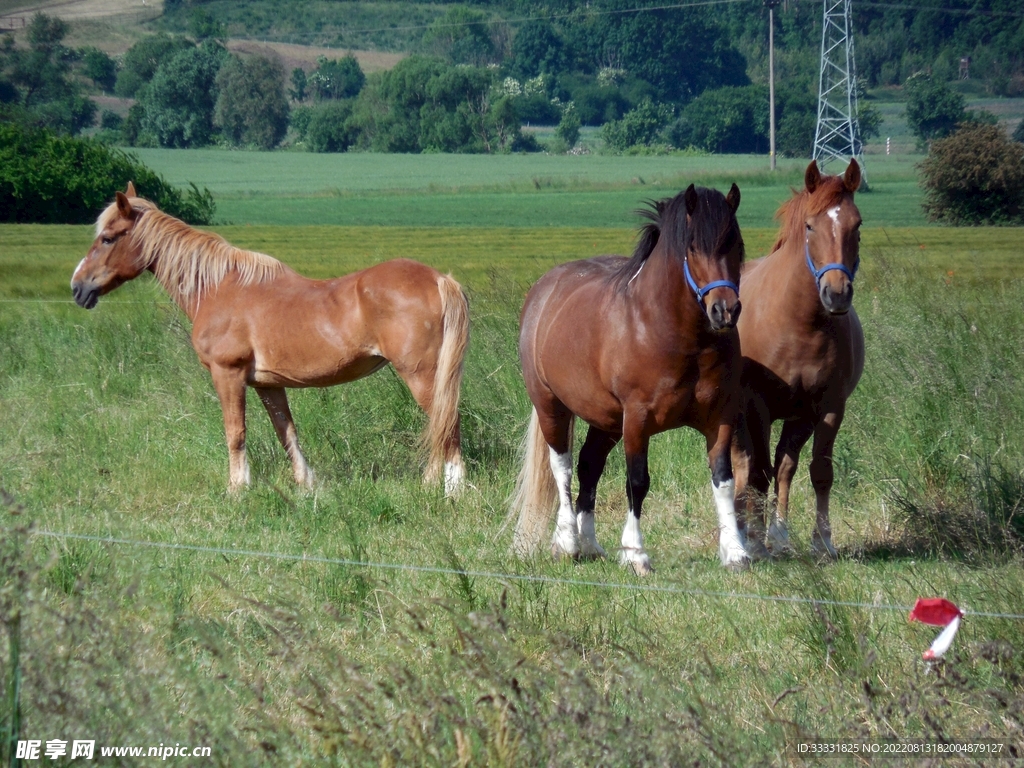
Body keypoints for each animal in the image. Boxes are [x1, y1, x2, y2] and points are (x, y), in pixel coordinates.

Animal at [71, 184, 469, 495]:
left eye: (107, 238)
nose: (78, 288)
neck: (219, 289)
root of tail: (439, 279)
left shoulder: (228, 374)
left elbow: (235, 432)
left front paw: (237, 489)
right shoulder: (268, 384)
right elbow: (286, 432)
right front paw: (306, 483)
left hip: (421, 375)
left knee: (447, 424)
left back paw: (453, 490)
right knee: (441, 426)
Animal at [510, 184, 750, 574]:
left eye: (736, 243)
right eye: (693, 246)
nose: (724, 310)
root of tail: (543, 291)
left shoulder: (720, 417)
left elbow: (724, 480)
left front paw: (736, 552)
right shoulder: (637, 420)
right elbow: (637, 482)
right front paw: (636, 553)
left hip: (606, 420)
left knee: (589, 466)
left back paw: (590, 545)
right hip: (551, 406)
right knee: (563, 468)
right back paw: (568, 543)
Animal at [731, 160, 864, 559]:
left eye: (857, 224)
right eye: (810, 226)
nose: (836, 293)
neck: (799, 323)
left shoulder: (830, 406)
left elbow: (819, 471)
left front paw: (822, 541)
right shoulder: (756, 405)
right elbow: (758, 472)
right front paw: (754, 541)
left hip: (798, 417)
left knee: (785, 466)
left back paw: (779, 535)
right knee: (745, 467)